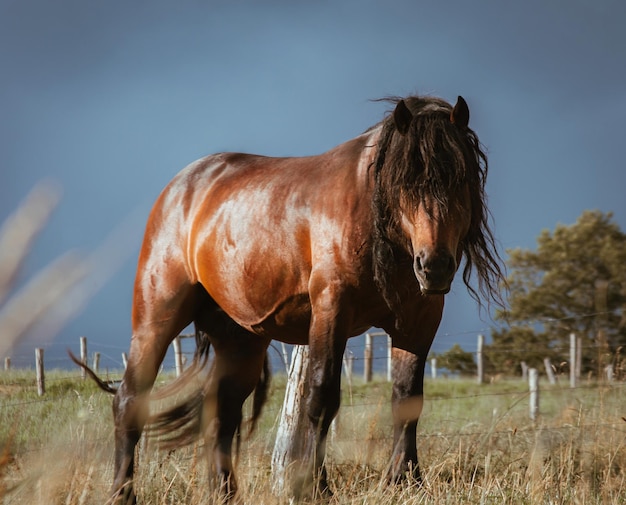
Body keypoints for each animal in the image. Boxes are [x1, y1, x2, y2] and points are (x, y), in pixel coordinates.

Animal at [74, 93, 502, 500]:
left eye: (460, 180)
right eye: (406, 184)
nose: (434, 266)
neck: (369, 215)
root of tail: (180, 187)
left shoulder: (419, 321)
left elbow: (407, 399)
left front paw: (405, 482)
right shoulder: (332, 311)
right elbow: (321, 398)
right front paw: (316, 487)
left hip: (241, 340)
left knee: (221, 415)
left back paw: (225, 493)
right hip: (157, 319)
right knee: (129, 401)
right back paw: (122, 492)